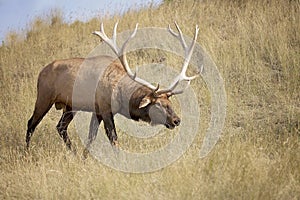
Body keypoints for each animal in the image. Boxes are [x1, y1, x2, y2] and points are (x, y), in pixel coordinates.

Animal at [25, 21, 199, 153]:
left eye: (170, 102)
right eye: (159, 105)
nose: (176, 120)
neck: (121, 94)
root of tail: (40, 73)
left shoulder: (97, 111)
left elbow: (91, 137)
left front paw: (84, 158)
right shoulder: (105, 109)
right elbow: (113, 138)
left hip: (69, 106)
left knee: (60, 127)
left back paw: (73, 152)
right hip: (44, 97)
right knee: (31, 123)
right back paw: (26, 153)